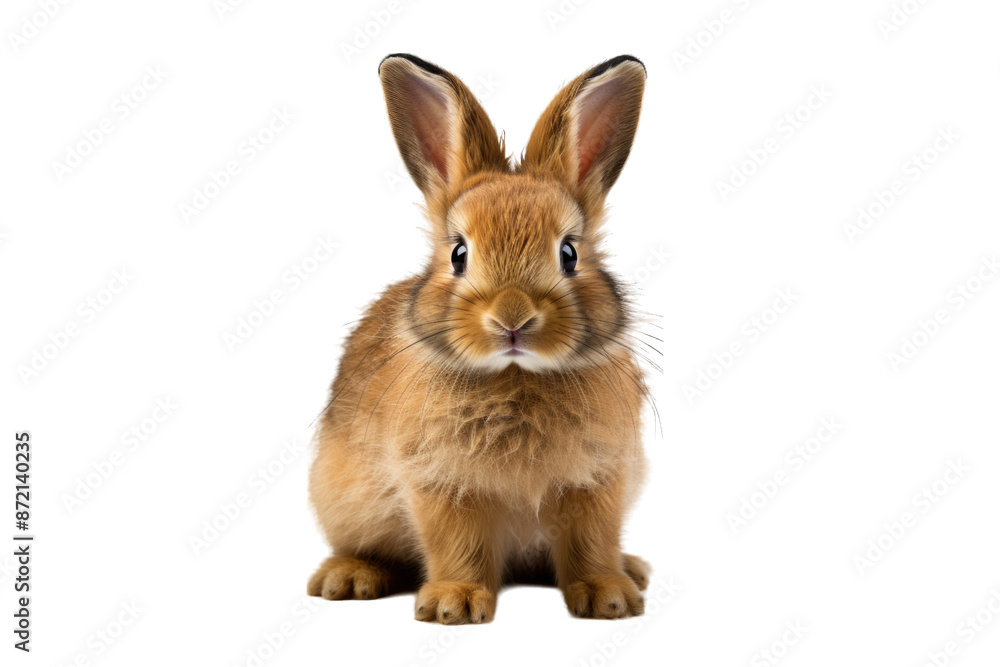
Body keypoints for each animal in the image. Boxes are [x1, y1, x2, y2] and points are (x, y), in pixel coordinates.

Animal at [307, 53, 653, 624]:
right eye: (458, 254)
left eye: (569, 253)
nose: (512, 319)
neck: (516, 376)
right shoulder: (442, 485)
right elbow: (458, 545)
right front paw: (455, 605)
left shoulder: (598, 480)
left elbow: (591, 543)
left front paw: (610, 597)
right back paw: (347, 578)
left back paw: (633, 569)